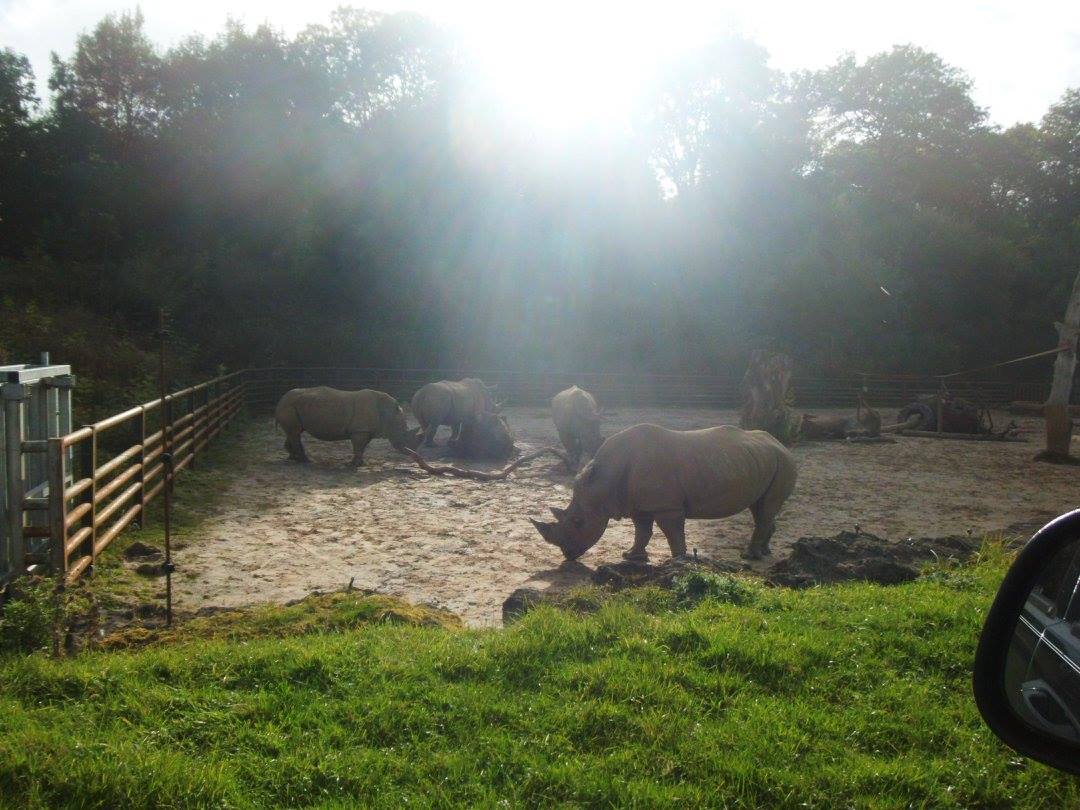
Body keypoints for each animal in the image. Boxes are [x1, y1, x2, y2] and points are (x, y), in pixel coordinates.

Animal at [274, 386, 420, 467]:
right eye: (402, 433)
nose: (413, 452)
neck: (388, 412)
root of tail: (281, 400)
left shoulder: (365, 430)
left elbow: (361, 448)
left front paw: (360, 464)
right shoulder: (360, 430)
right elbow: (358, 447)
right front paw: (352, 466)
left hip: (293, 406)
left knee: (294, 432)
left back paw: (293, 458)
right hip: (289, 406)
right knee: (295, 433)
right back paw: (305, 461)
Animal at [530, 423, 797, 561]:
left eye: (578, 521)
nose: (567, 554)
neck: (603, 479)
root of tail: (779, 444)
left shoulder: (666, 506)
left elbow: (672, 532)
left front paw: (678, 561)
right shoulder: (637, 504)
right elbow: (642, 531)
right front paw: (631, 556)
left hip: (783, 462)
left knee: (765, 509)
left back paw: (750, 556)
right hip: (763, 461)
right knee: (761, 507)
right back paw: (764, 552)